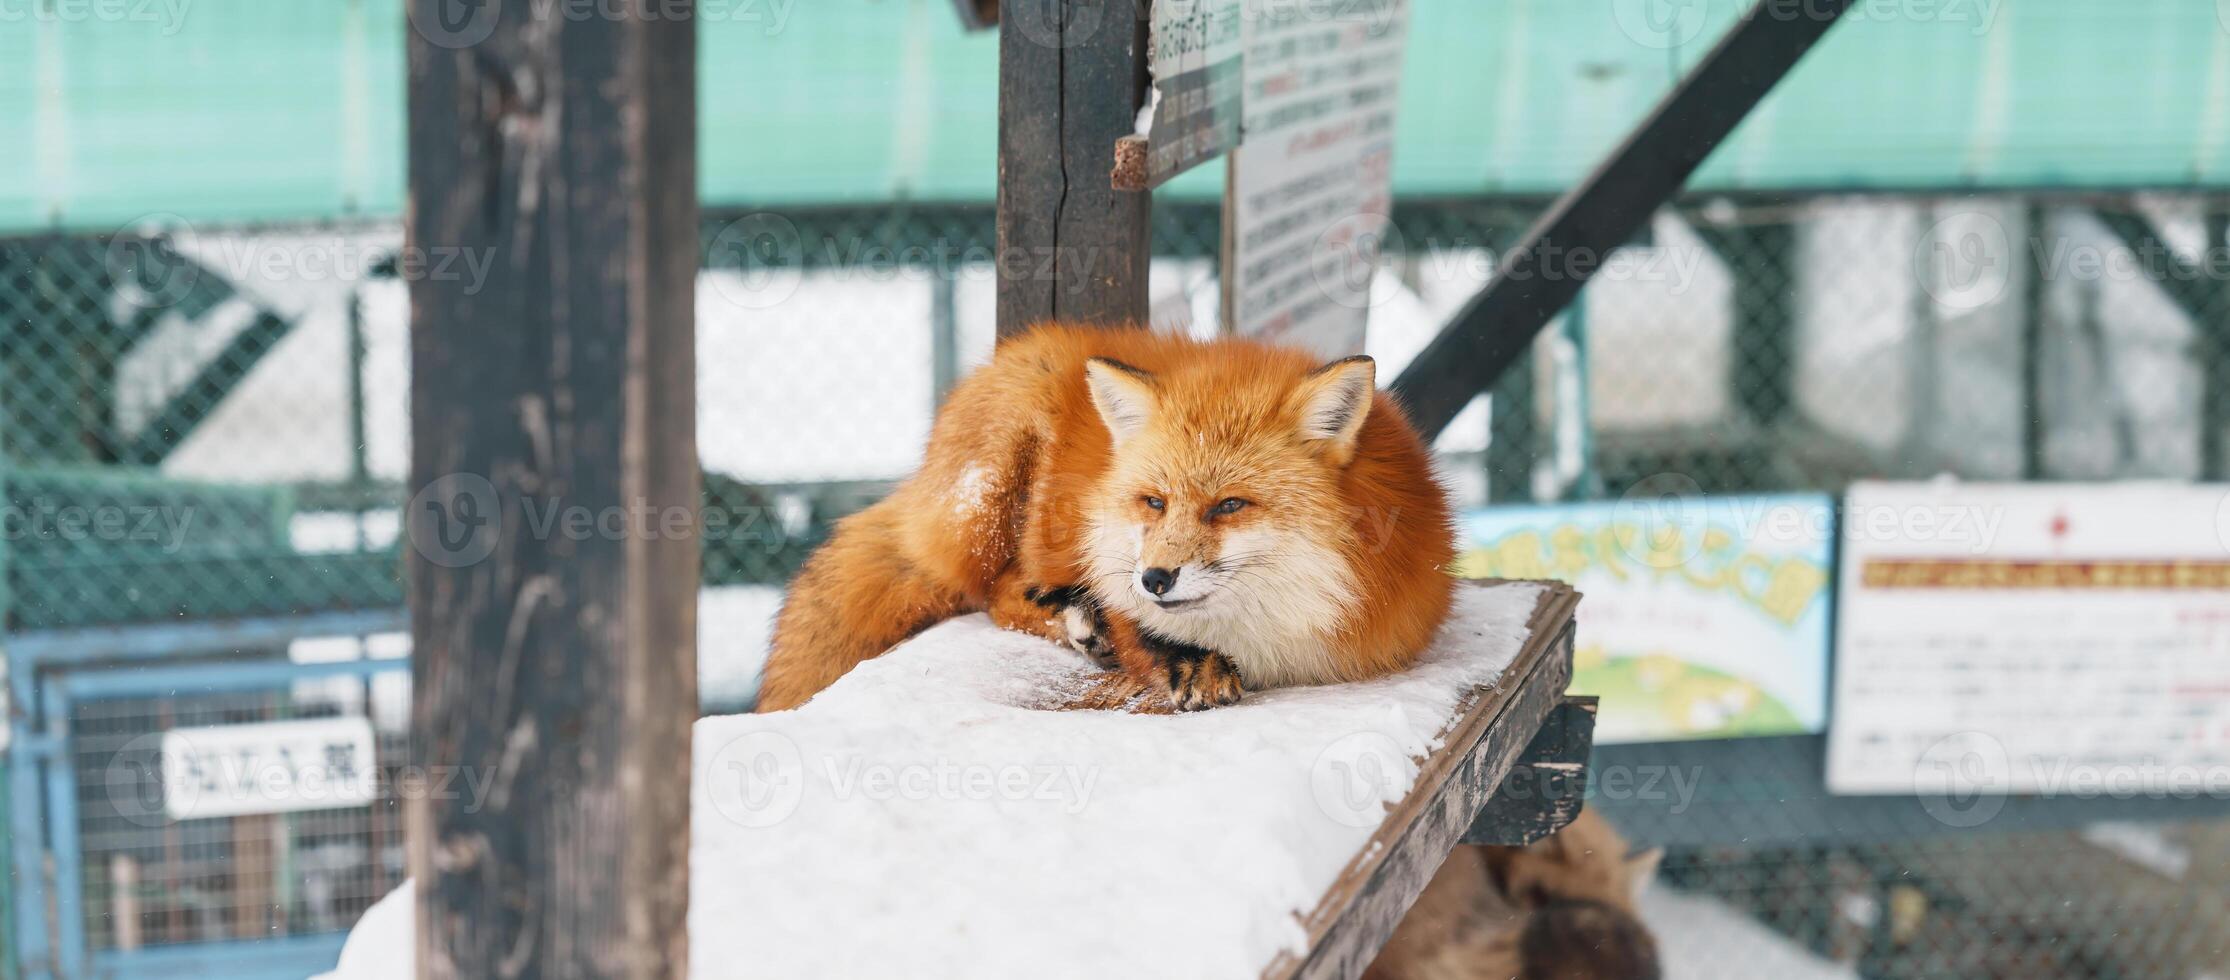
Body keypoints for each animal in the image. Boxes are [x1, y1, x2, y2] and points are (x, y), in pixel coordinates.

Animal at [762, 323, 1462, 714]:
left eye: (1229, 504)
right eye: (1154, 502)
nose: (1154, 578)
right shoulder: (1111, 561)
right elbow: (1139, 628)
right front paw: (1183, 659)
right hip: (993, 492)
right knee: (992, 592)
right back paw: (1075, 618)